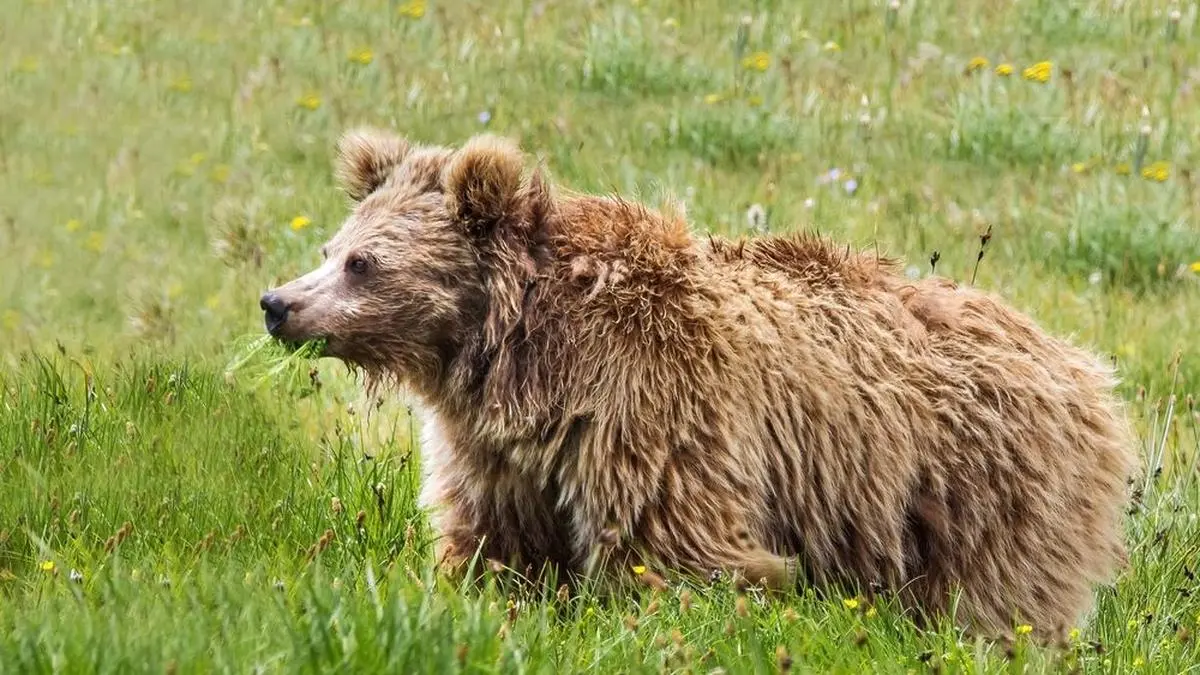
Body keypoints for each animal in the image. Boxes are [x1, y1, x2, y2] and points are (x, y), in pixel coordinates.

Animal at [259, 129, 1138, 642]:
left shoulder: (649, 405)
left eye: (363, 262)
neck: (520, 354)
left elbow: (678, 548)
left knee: (997, 597)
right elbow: (495, 543)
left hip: (985, 483)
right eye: (332, 246)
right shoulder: (498, 449)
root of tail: (1083, 365)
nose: (278, 304)